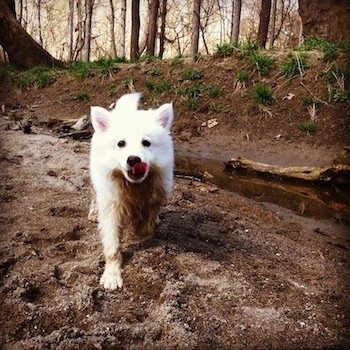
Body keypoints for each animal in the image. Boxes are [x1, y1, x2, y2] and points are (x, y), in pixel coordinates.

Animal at [89, 93, 174, 290]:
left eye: (146, 143)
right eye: (121, 143)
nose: (134, 159)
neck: (134, 186)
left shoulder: (156, 194)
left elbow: (147, 222)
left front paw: (142, 227)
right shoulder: (111, 207)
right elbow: (112, 245)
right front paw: (111, 275)